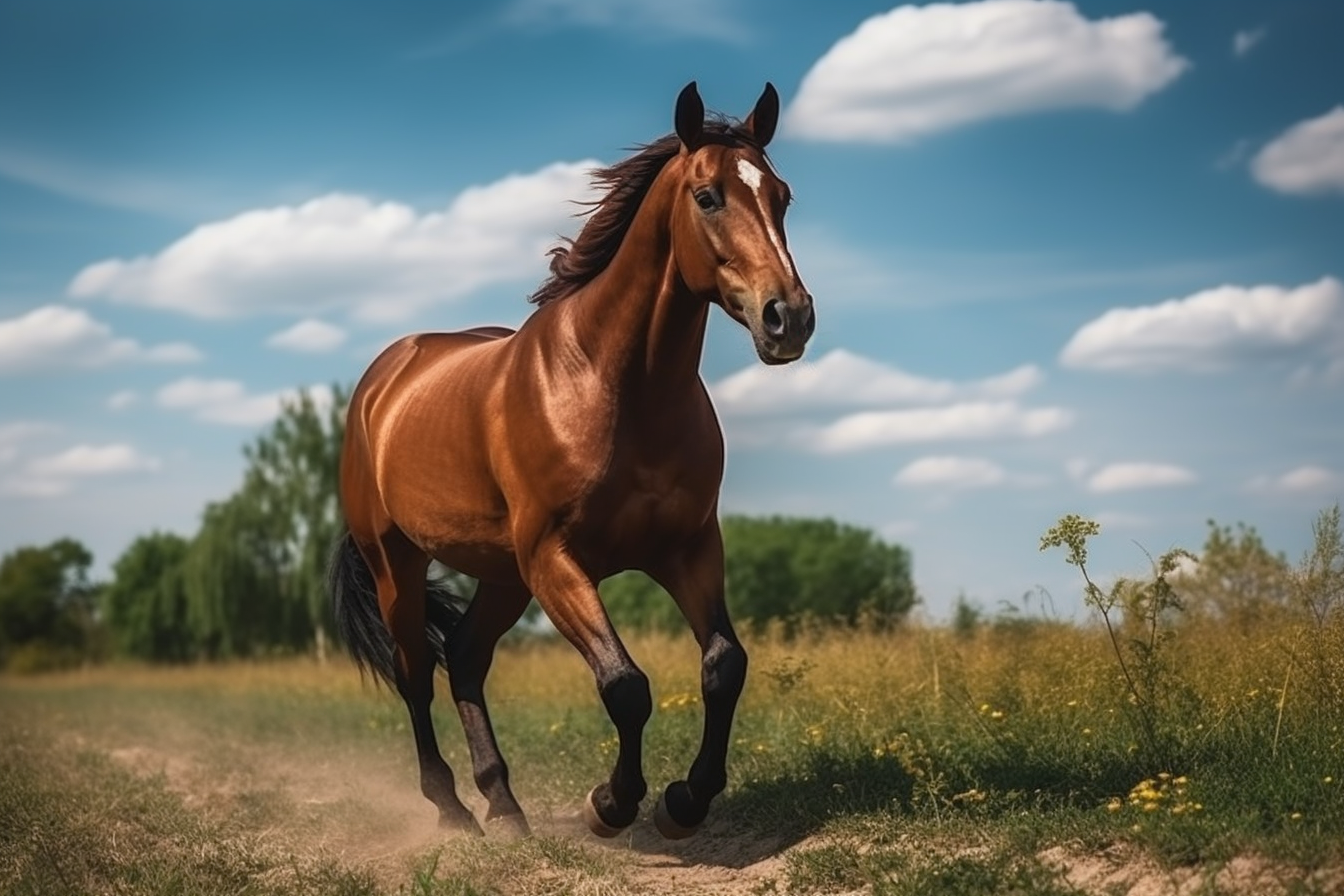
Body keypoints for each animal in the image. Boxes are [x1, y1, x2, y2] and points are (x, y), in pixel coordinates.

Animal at [330, 82, 811, 843]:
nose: (788, 318)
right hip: (398, 565)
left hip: (503, 575)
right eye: (708, 197)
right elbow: (625, 685)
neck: (616, 386)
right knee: (414, 672)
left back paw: (505, 805)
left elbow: (724, 666)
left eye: (783, 196)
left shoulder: (689, 548)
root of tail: (386, 378)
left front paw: (684, 800)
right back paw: (453, 810)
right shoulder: (557, 560)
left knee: (464, 658)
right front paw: (610, 803)